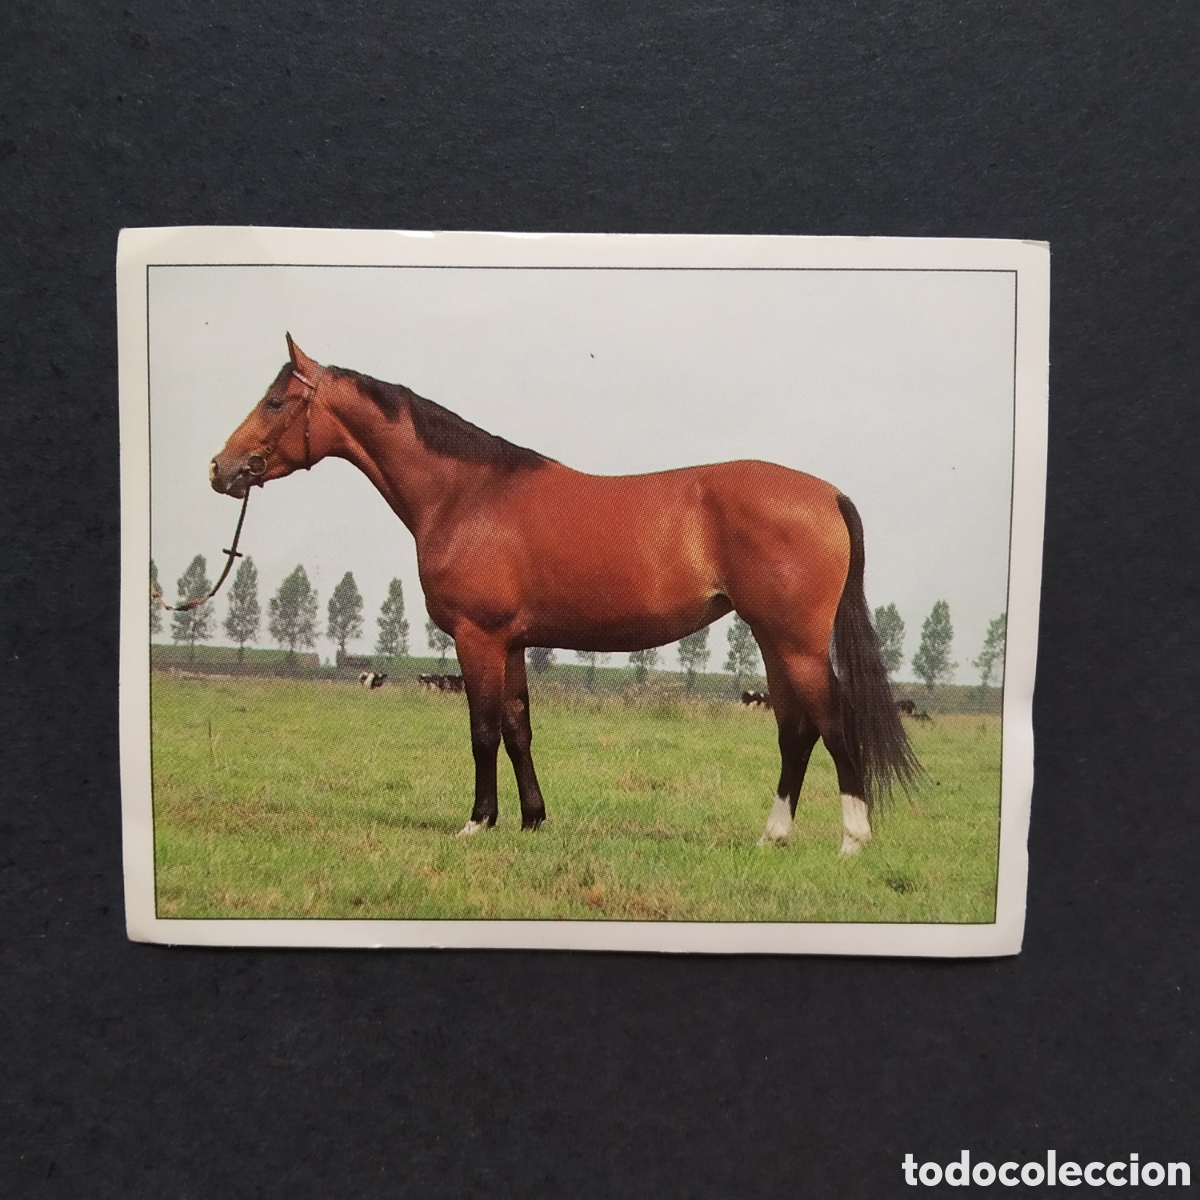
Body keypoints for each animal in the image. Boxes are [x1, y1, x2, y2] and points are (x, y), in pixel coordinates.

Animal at [210, 335, 919, 854]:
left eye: (276, 402)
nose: (221, 470)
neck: (466, 494)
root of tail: (826, 493)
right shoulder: (513, 643)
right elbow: (518, 728)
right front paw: (532, 819)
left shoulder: (478, 637)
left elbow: (483, 730)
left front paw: (477, 822)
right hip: (773, 640)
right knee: (795, 730)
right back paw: (773, 836)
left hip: (797, 643)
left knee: (831, 723)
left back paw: (852, 841)